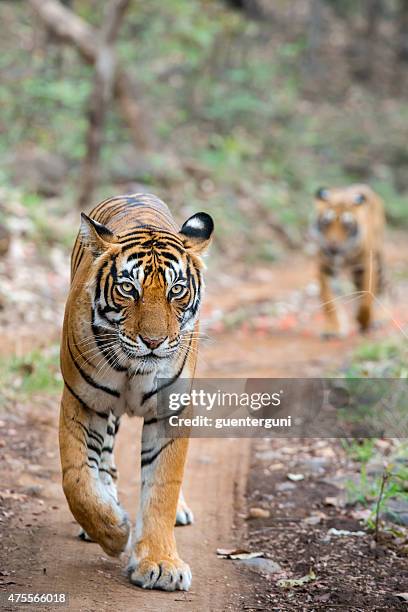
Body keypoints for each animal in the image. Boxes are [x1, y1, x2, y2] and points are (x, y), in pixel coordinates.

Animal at [61, 192, 214, 592]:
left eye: (177, 290)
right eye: (128, 288)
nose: (154, 342)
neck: (132, 370)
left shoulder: (171, 411)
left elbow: (163, 484)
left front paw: (160, 563)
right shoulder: (81, 401)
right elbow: (77, 479)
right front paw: (114, 531)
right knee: (102, 461)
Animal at [314, 184, 384, 338]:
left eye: (346, 225)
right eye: (326, 223)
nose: (332, 245)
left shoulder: (365, 266)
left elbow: (366, 300)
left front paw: (363, 321)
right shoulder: (325, 267)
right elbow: (329, 300)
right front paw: (333, 329)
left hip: (377, 258)